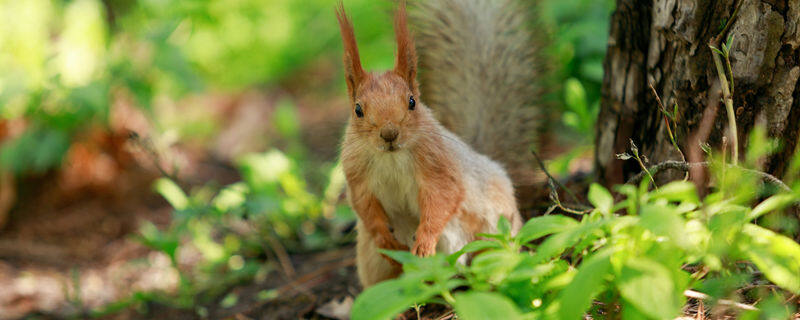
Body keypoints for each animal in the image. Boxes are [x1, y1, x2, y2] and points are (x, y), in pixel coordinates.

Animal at [334, 0, 540, 288]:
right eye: (358, 110)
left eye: (412, 101)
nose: (389, 134)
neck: (391, 157)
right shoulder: (356, 174)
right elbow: (364, 207)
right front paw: (384, 238)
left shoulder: (437, 164)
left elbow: (443, 197)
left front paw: (424, 241)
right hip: (372, 260)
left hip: (489, 230)